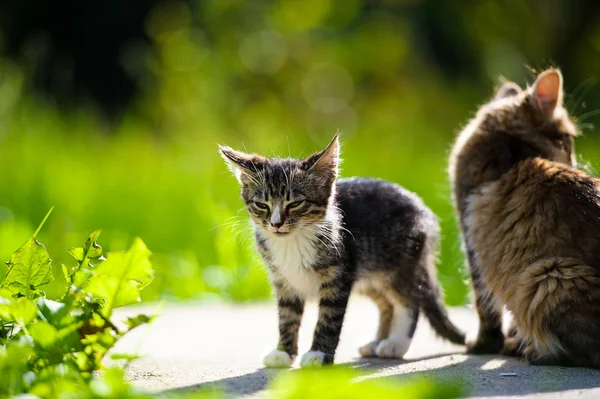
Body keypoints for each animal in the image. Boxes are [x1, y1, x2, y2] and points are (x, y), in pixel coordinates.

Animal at [220, 135, 464, 368]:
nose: (276, 223)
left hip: (400, 265)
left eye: (295, 203)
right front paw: (284, 353)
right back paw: (376, 342)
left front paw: (319, 354)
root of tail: (424, 211)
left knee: (409, 301)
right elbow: (287, 316)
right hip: (369, 274)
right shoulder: (284, 279)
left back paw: (395, 344)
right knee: (387, 303)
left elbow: (329, 318)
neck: (293, 241)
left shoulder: (339, 274)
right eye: (262, 205)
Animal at [448, 67, 600, 368]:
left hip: (548, 275)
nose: (574, 161)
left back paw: (538, 352)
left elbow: (486, 309)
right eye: (568, 140)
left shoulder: (472, 243)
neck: (511, 151)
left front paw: (484, 345)